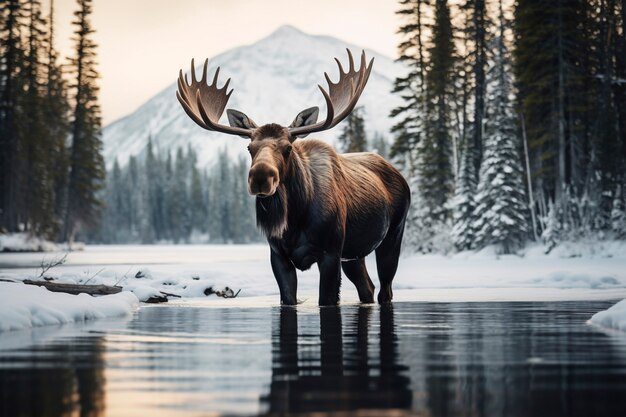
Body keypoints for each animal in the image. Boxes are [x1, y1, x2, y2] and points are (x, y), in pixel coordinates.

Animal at [176, 49, 410, 306]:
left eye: (288, 147)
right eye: (249, 148)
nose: (261, 177)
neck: (295, 220)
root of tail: (399, 174)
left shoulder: (330, 252)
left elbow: (326, 299)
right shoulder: (278, 255)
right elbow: (288, 298)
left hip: (393, 234)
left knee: (385, 290)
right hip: (353, 255)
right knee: (367, 288)